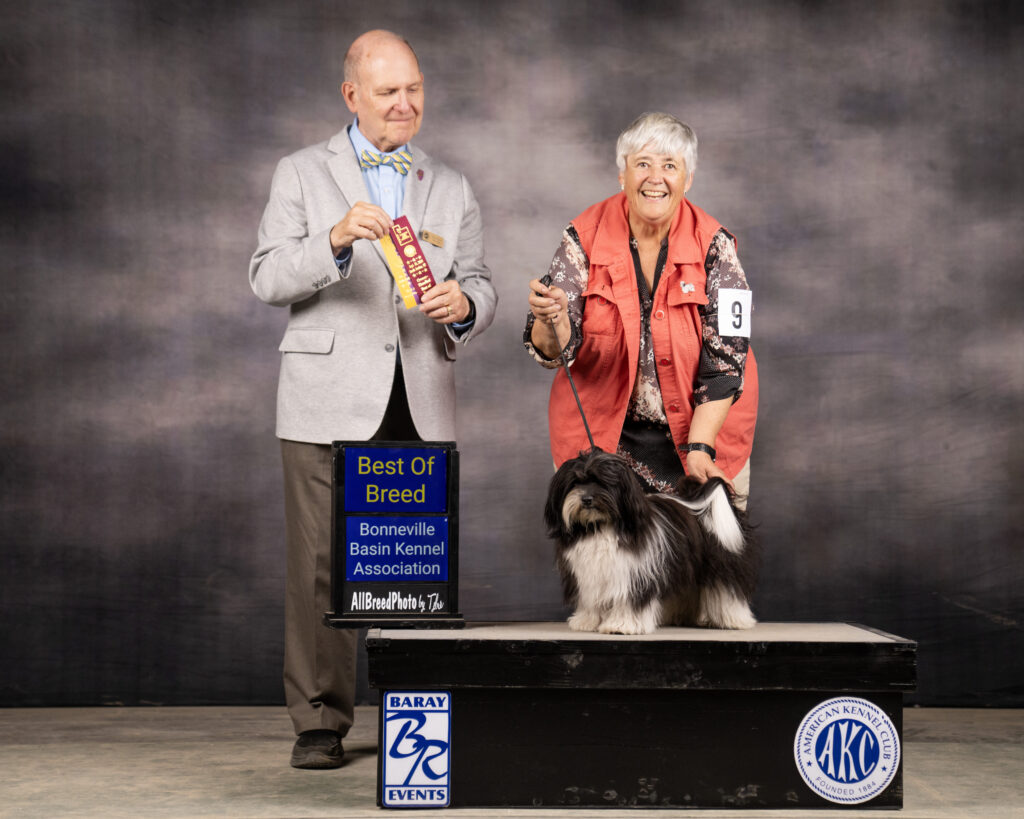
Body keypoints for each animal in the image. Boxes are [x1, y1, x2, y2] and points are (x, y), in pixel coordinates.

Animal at [544, 448, 758, 635]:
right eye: (575, 483)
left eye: (603, 483)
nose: (587, 499)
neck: (600, 526)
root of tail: (701, 504)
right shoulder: (589, 575)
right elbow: (591, 600)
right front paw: (587, 621)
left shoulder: (633, 573)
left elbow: (628, 600)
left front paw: (621, 625)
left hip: (722, 564)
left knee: (728, 590)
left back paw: (736, 620)